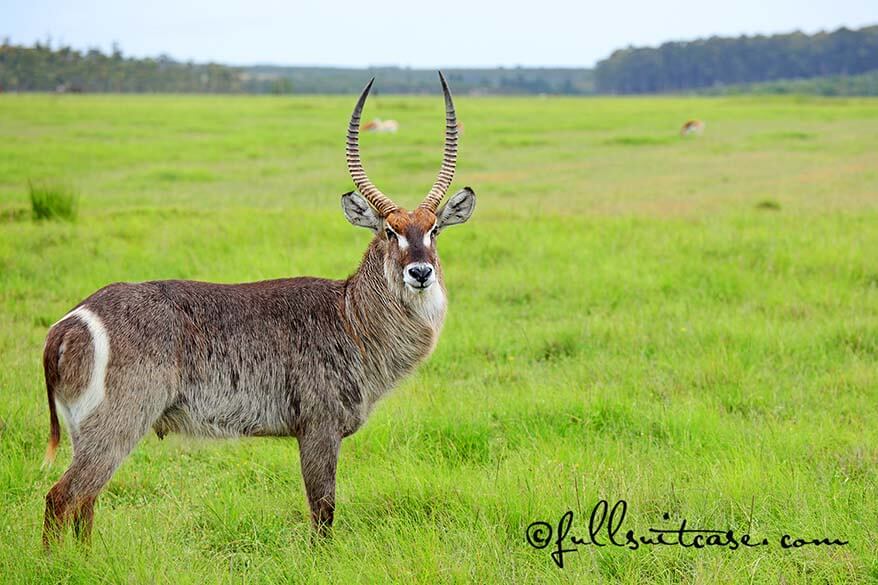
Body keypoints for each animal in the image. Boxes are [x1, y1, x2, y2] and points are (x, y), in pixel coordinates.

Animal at [38, 72, 478, 544]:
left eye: (434, 229)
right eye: (388, 231)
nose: (420, 272)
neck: (350, 317)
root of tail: (69, 322)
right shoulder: (318, 427)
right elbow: (323, 513)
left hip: (88, 430)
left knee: (84, 505)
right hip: (117, 422)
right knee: (62, 498)